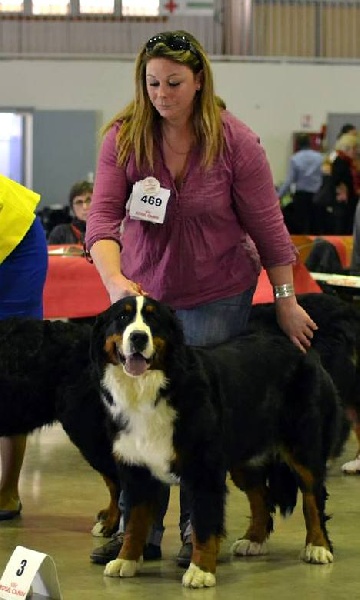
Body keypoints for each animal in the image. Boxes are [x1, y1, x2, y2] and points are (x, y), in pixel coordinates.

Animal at [90, 296, 352, 592]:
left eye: (152, 319)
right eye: (122, 318)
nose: (137, 337)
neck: (153, 390)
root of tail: (303, 350)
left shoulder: (203, 470)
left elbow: (204, 525)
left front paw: (200, 571)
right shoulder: (136, 468)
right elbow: (134, 522)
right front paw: (126, 560)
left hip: (303, 447)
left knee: (312, 497)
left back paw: (318, 546)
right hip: (244, 457)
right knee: (260, 497)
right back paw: (253, 540)